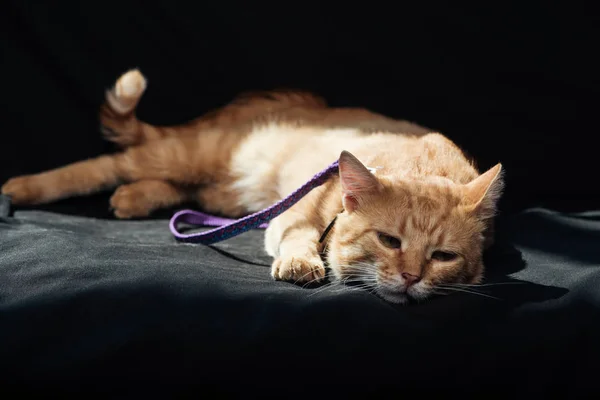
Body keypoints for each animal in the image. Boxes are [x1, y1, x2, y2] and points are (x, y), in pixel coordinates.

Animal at [2, 69, 504, 306]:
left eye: (442, 257)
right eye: (389, 241)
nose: (412, 277)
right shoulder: (294, 213)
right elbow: (297, 237)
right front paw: (301, 263)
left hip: (217, 190)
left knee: (182, 190)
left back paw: (133, 199)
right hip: (189, 152)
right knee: (104, 165)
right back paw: (19, 187)